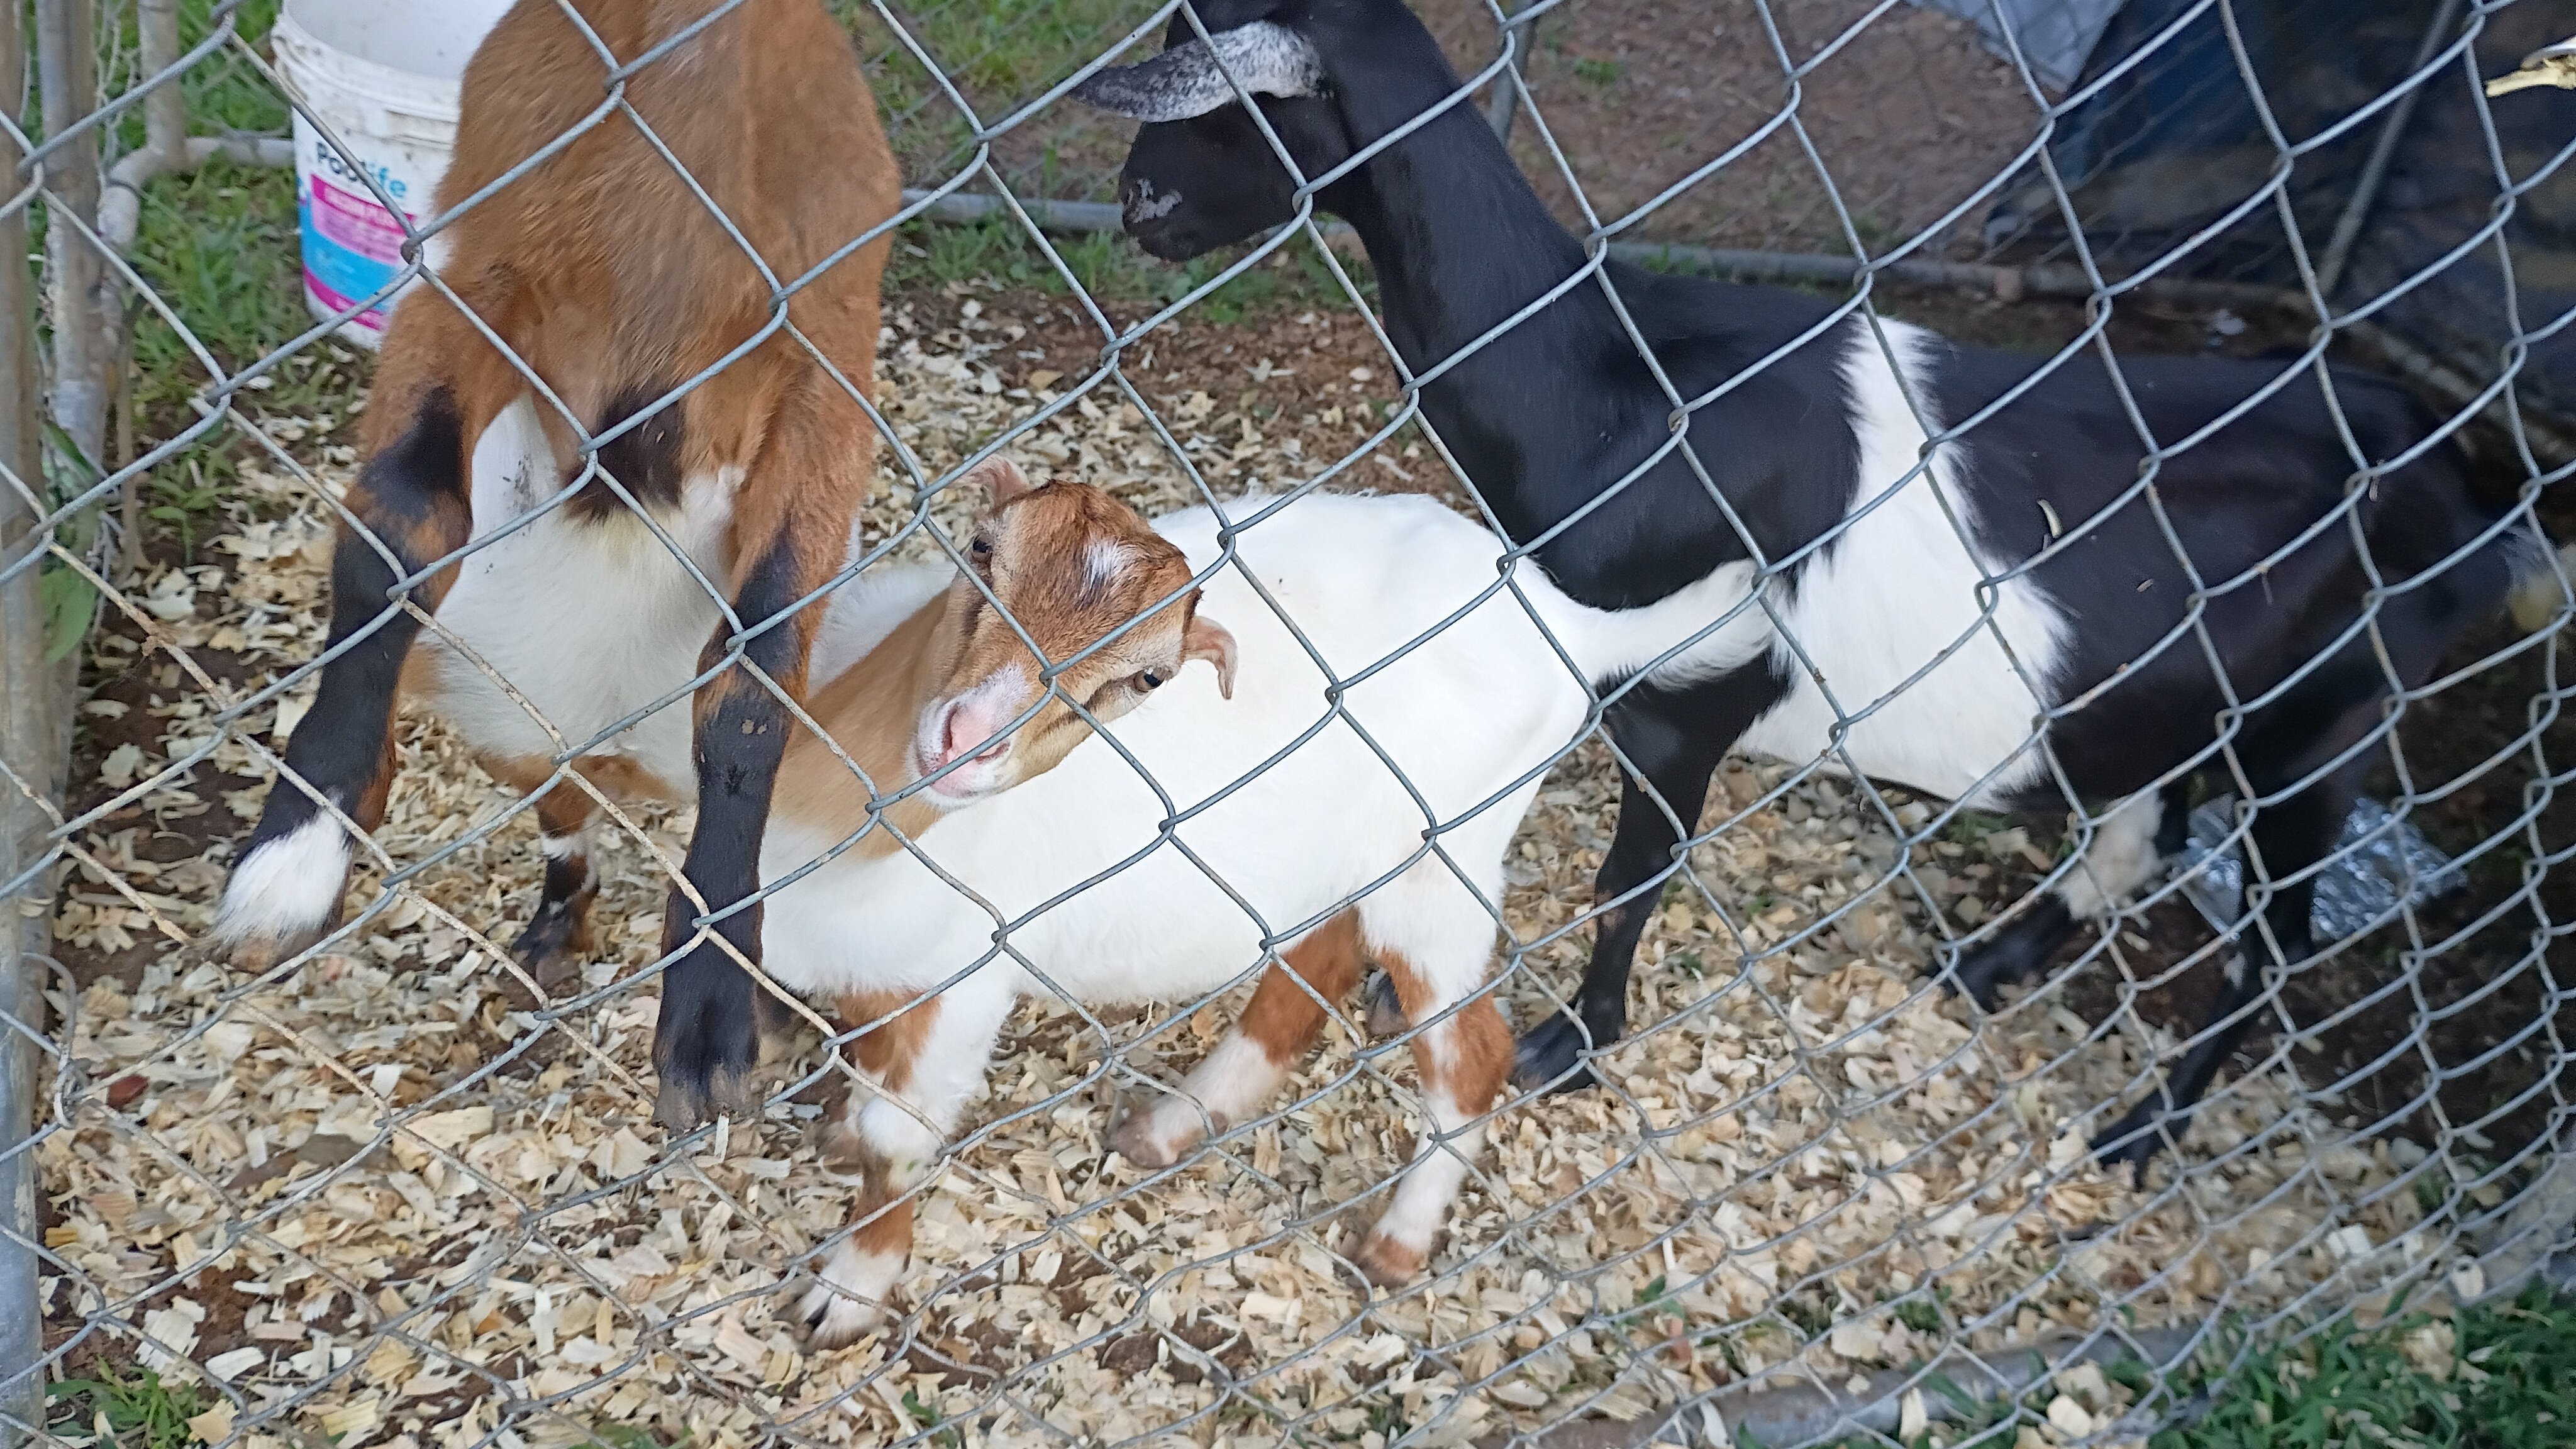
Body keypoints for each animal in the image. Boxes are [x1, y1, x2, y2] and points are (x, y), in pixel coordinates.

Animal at [209, 0, 899, 1128]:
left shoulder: (826, 362)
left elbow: (754, 681)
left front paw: (712, 1005)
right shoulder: (472, 280)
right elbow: (398, 531)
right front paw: (294, 850)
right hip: (509, 726)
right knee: (560, 805)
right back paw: (549, 924)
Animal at [752, 455, 1746, 1346]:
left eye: (1148, 678)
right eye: (982, 549)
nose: (965, 741)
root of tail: (1570, 622)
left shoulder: (963, 978)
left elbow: (898, 1138)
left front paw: (848, 1291)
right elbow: (864, 1055)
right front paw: (837, 1130)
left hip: (1443, 861)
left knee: (1472, 1055)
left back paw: (1398, 1241)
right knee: (1319, 960)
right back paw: (1176, 1124)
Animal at [1074, 0, 2553, 1171]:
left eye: (1237, 109)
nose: (1137, 206)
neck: (1621, 381)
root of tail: (2477, 495)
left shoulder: (1694, 684)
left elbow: (1630, 879)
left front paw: (1572, 1041)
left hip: (2326, 730)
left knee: (2272, 945)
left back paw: (2141, 1129)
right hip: (2193, 692)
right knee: (2145, 819)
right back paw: (1989, 962)